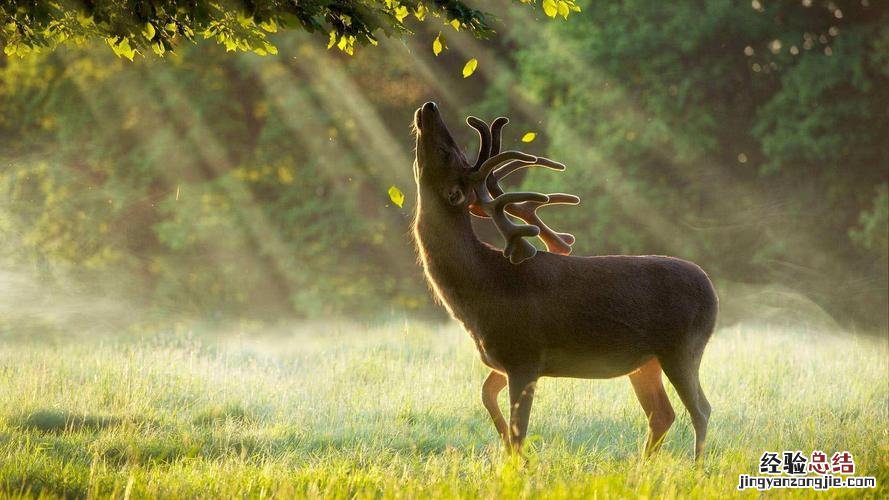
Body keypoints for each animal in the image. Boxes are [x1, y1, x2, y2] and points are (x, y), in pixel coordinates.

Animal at [412, 101, 720, 460]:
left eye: (447, 153)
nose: (429, 107)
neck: (481, 289)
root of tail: (712, 291)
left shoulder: (524, 354)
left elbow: (519, 430)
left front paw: (517, 462)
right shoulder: (504, 360)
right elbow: (486, 396)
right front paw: (505, 448)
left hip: (683, 347)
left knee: (700, 409)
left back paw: (696, 466)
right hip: (646, 362)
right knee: (662, 413)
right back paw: (642, 465)